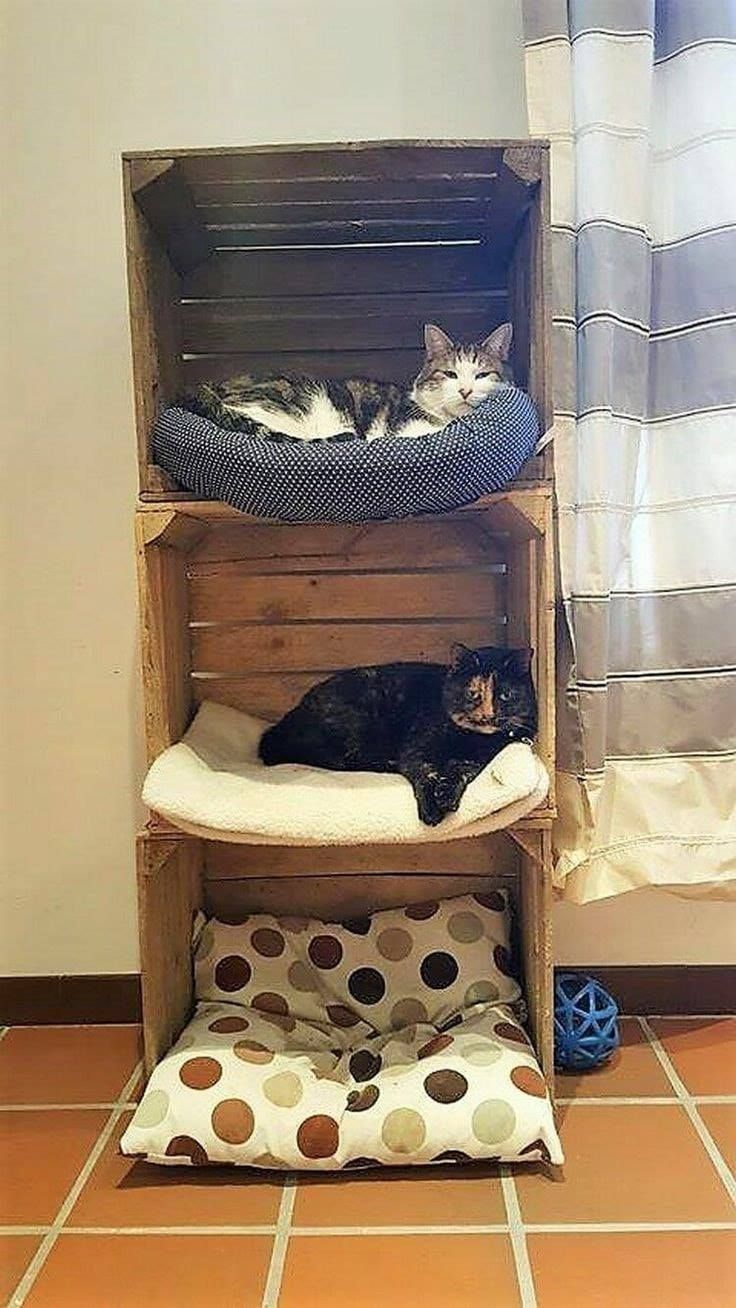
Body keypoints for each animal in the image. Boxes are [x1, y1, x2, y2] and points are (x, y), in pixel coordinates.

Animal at [258, 646, 535, 826]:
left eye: (505, 695)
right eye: (472, 693)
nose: (488, 716)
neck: (467, 738)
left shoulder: (477, 758)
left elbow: (461, 773)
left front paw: (446, 796)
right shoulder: (417, 749)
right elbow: (424, 772)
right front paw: (431, 809)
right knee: (346, 760)